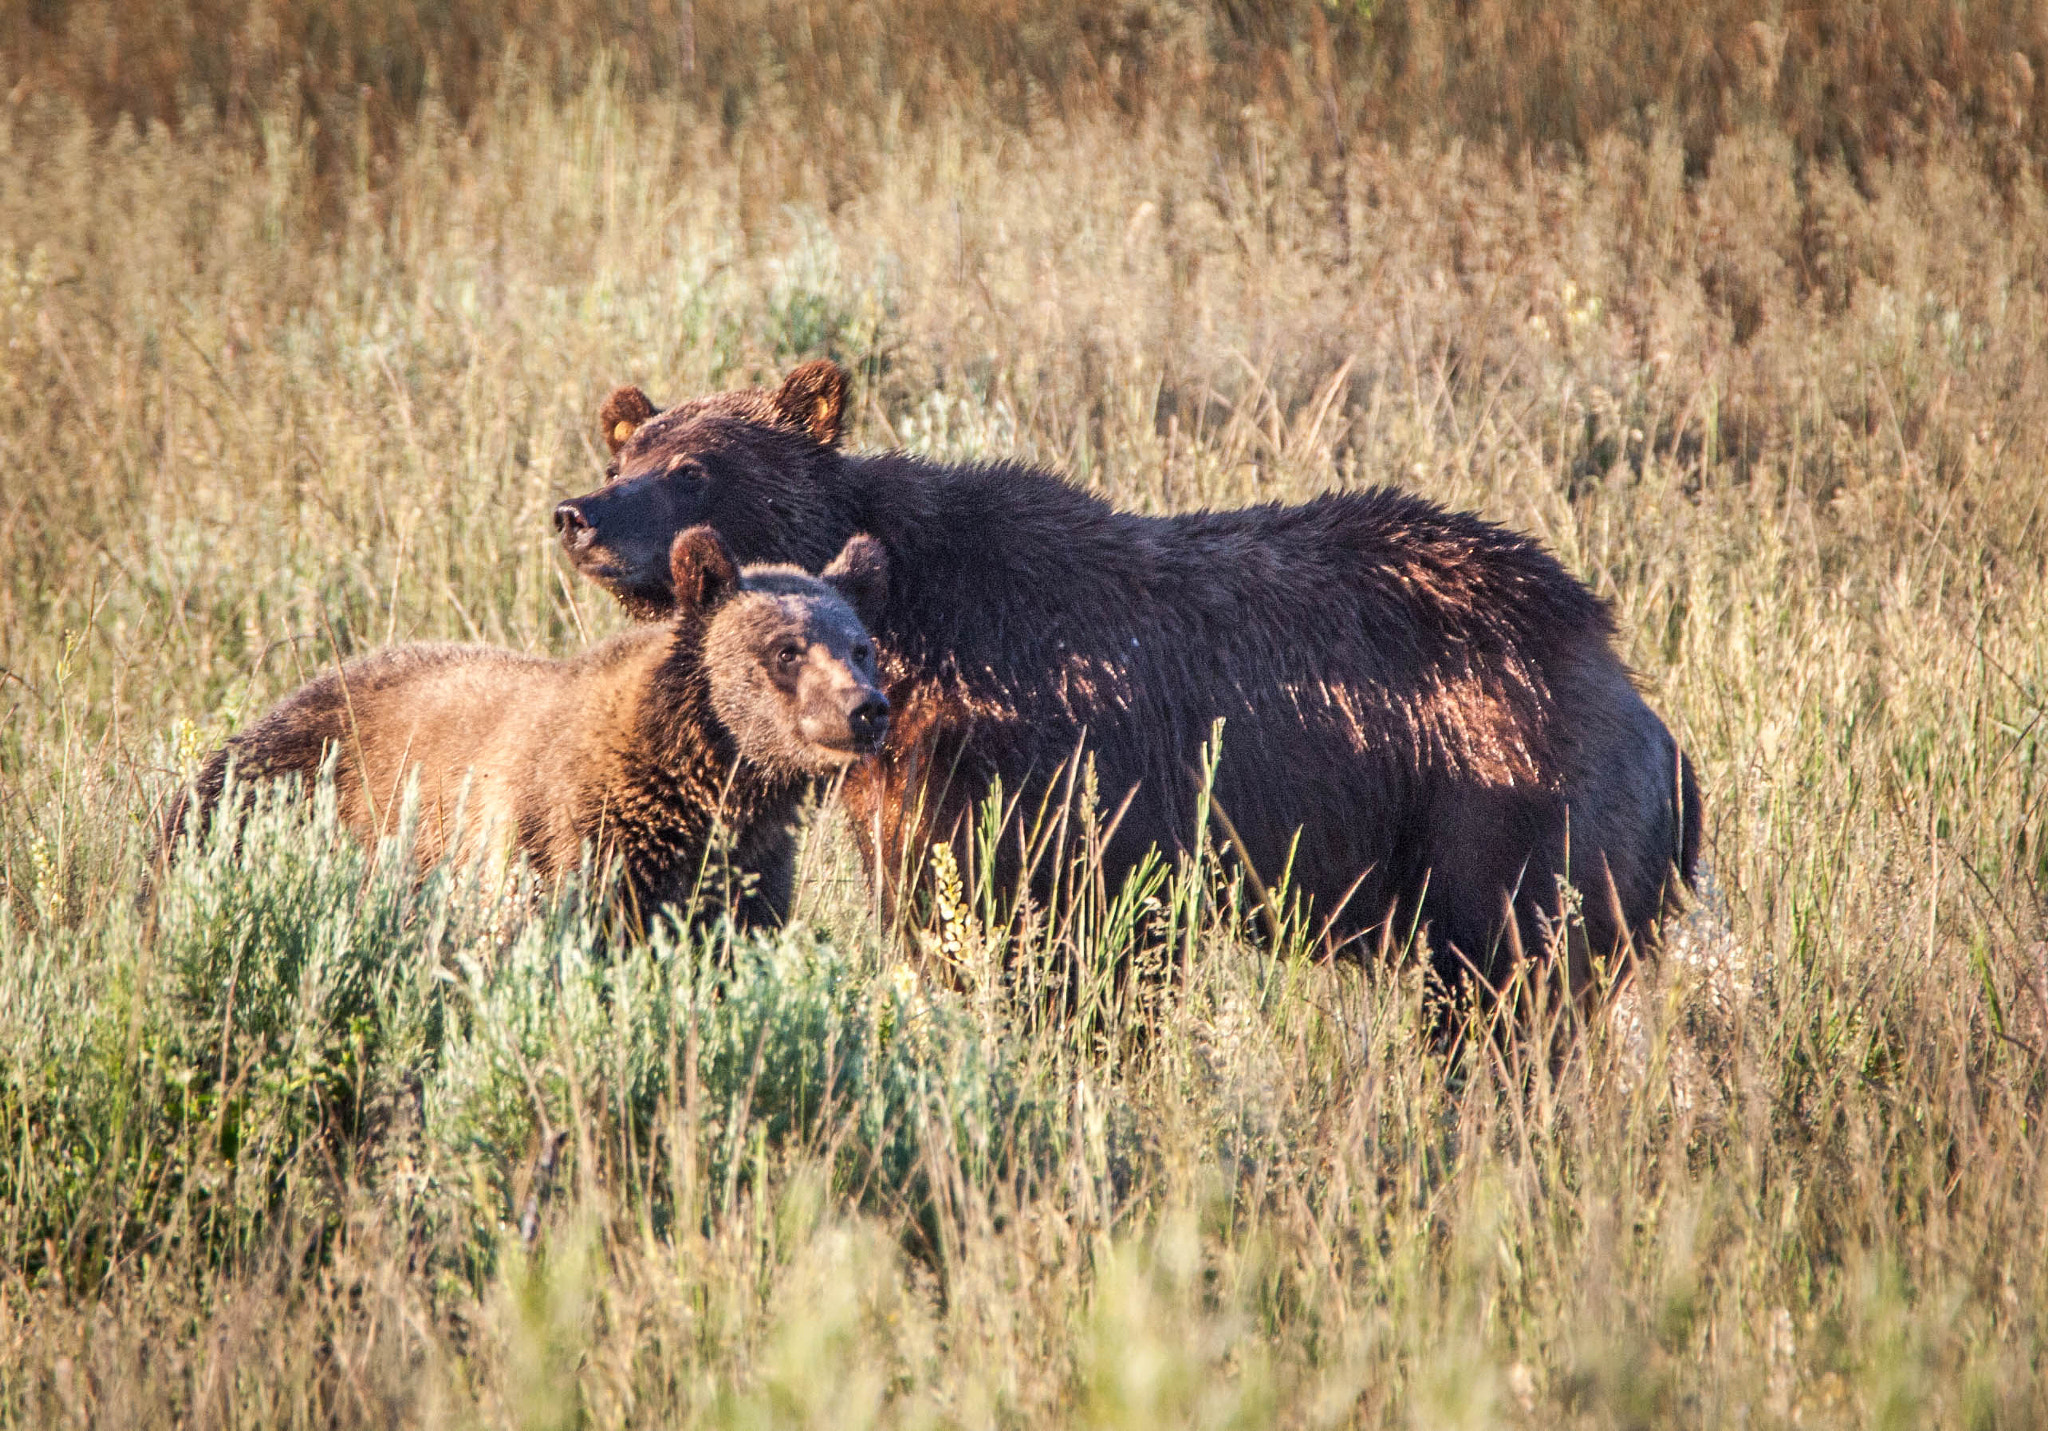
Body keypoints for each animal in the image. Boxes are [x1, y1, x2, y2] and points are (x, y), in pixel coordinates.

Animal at [160, 525, 891, 930]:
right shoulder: (563, 838)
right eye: (786, 650)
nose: (866, 708)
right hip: (285, 792)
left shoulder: (748, 870)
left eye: (861, 647)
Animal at [552, 361, 1700, 991]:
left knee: (1506, 987)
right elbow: (941, 916)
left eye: (692, 468)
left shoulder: (1059, 768)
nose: (579, 514)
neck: (916, 625)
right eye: (623, 456)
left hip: (1512, 807)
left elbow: (1076, 946)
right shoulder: (919, 787)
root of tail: (1634, 694)